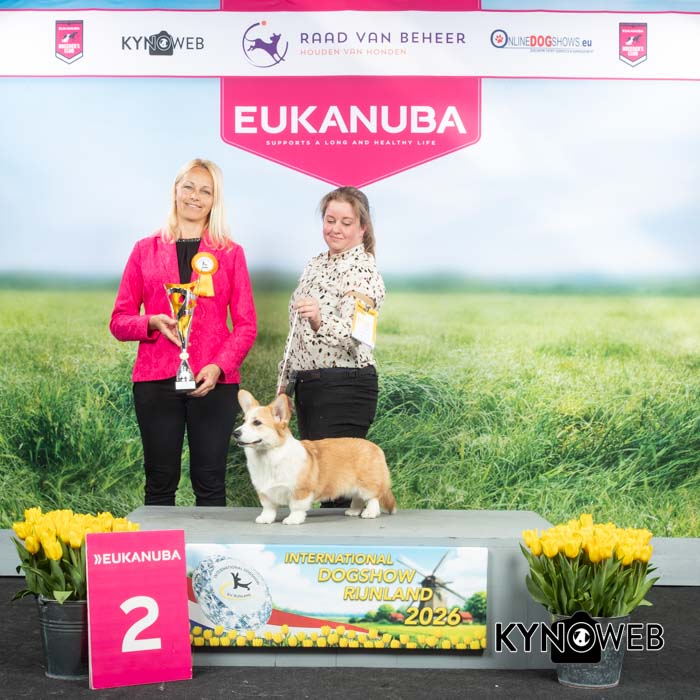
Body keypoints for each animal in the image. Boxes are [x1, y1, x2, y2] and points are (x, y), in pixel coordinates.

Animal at [233, 390, 396, 525]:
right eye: (244, 421)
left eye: (257, 422)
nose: (235, 433)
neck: (268, 456)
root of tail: (375, 447)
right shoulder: (264, 491)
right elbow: (268, 508)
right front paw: (265, 518)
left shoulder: (301, 491)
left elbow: (296, 507)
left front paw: (293, 520)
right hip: (354, 486)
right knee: (358, 498)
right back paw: (354, 511)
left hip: (367, 483)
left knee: (372, 498)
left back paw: (370, 513)